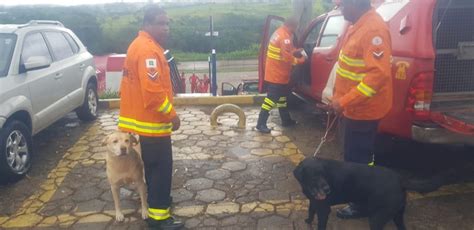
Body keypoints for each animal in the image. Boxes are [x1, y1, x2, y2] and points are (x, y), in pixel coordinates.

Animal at [292, 158, 452, 230]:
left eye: (324, 174)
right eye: (314, 176)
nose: (327, 189)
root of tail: (399, 179)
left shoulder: (324, 209)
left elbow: (321, 224)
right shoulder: (314, 202)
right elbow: (310, 211)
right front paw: (308, 220)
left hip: (378, 217)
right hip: (396, 214)